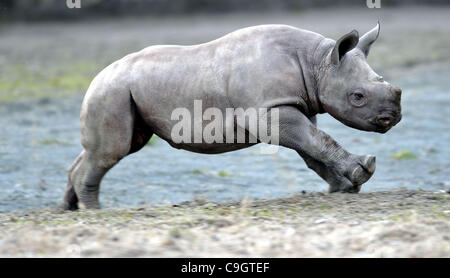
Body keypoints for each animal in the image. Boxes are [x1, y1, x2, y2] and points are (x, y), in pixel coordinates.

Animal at [59, 23, 400, 210]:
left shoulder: (289, 106)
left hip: (118, 92)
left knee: (112, 147)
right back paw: (95, 212)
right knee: (111, 151)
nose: (393, 117)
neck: (317, 61)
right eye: (358, 97)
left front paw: (344, 187)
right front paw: (363, 172)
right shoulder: (269, 111)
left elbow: (313, 148)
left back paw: (68, 208)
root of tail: (96, 77)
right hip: (112, 91)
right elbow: (318, 141)